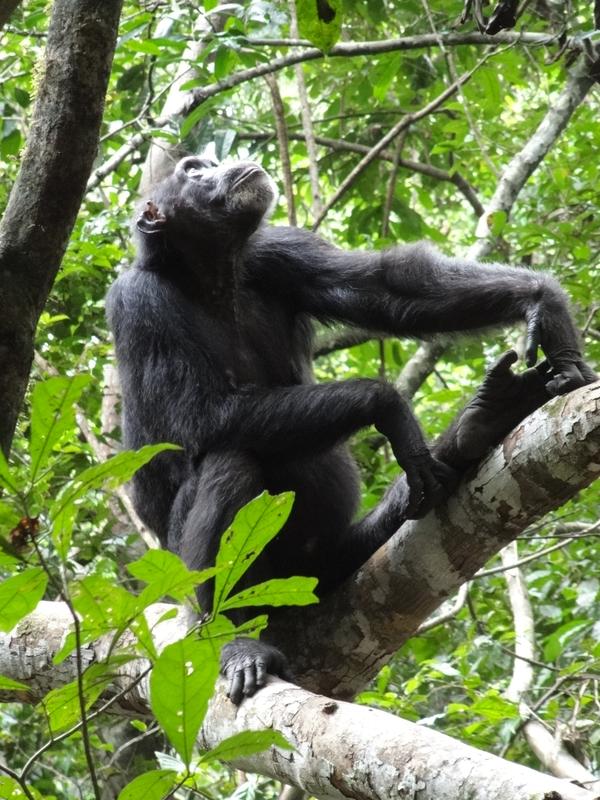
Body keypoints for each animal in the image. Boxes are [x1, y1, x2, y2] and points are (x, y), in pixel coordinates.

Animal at [105, 155, 596, 700]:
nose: (220, 165)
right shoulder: (137, 302)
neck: (208, 271)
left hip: (325, 572)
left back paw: (479, 424)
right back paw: (235, 641)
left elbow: (386, 290)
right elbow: (203, 414)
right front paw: (389, 406)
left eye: (205, 163)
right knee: (230, 464)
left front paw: (542, 303)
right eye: (193, 170)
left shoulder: (279, 251)